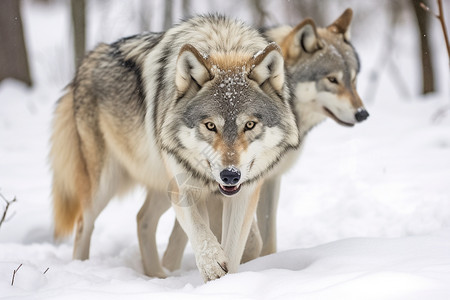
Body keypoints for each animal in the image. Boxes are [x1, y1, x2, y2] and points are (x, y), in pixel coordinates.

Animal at [50, 14, 298, 282]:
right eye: (210, 126)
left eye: (249, 125)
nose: (230, 175)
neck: (223, 44)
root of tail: (89, 58)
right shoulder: (185, 187)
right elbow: (201, 232)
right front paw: (212, 267)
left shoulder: (244, 192)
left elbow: (233, 248)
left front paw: (226, 280)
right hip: (106, 183)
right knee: (83, 225)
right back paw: (81, 270)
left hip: (159, 183)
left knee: (142, 219)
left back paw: (158, 276)